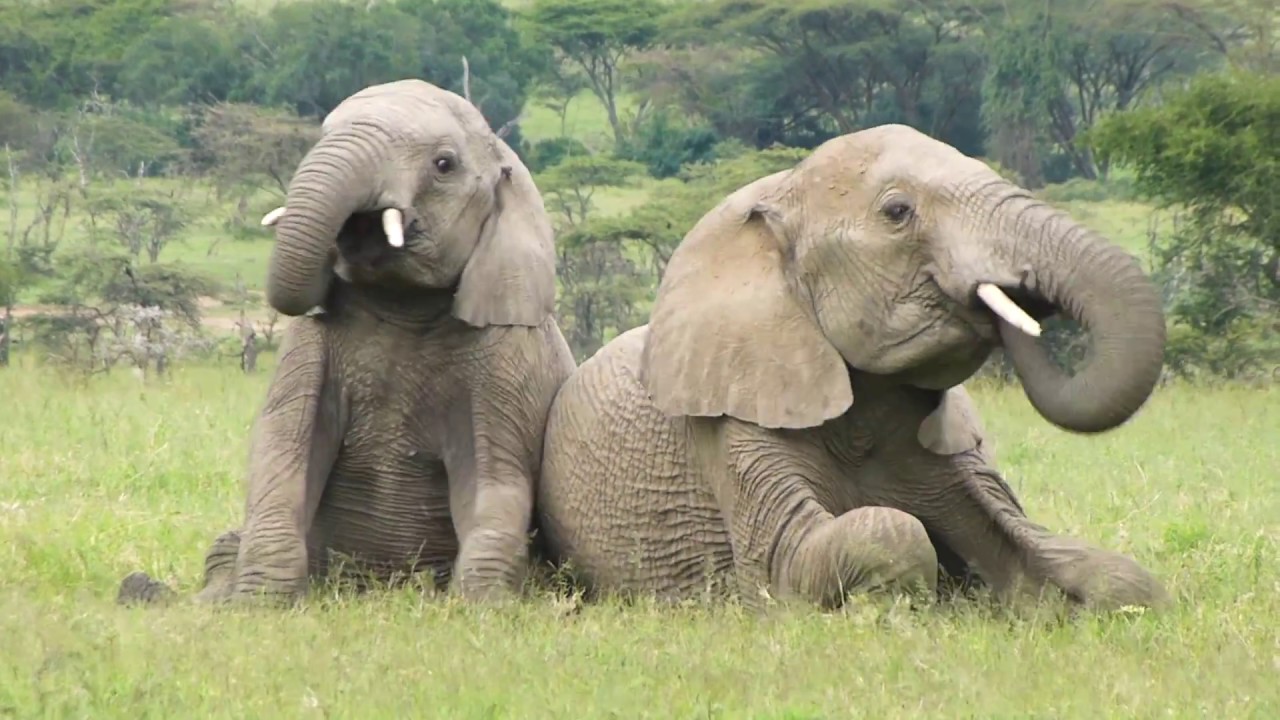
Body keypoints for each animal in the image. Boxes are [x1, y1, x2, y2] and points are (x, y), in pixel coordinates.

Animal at [118, 79, 576, 606]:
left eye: (444, 164)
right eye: (321, 134)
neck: (401, 301)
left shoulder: (507, 356)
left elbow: (493, 475)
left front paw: (484, 608)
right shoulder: (309, 342)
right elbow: (284, 448)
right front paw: (259, 605)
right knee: (223, 543)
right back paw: (149, 591)